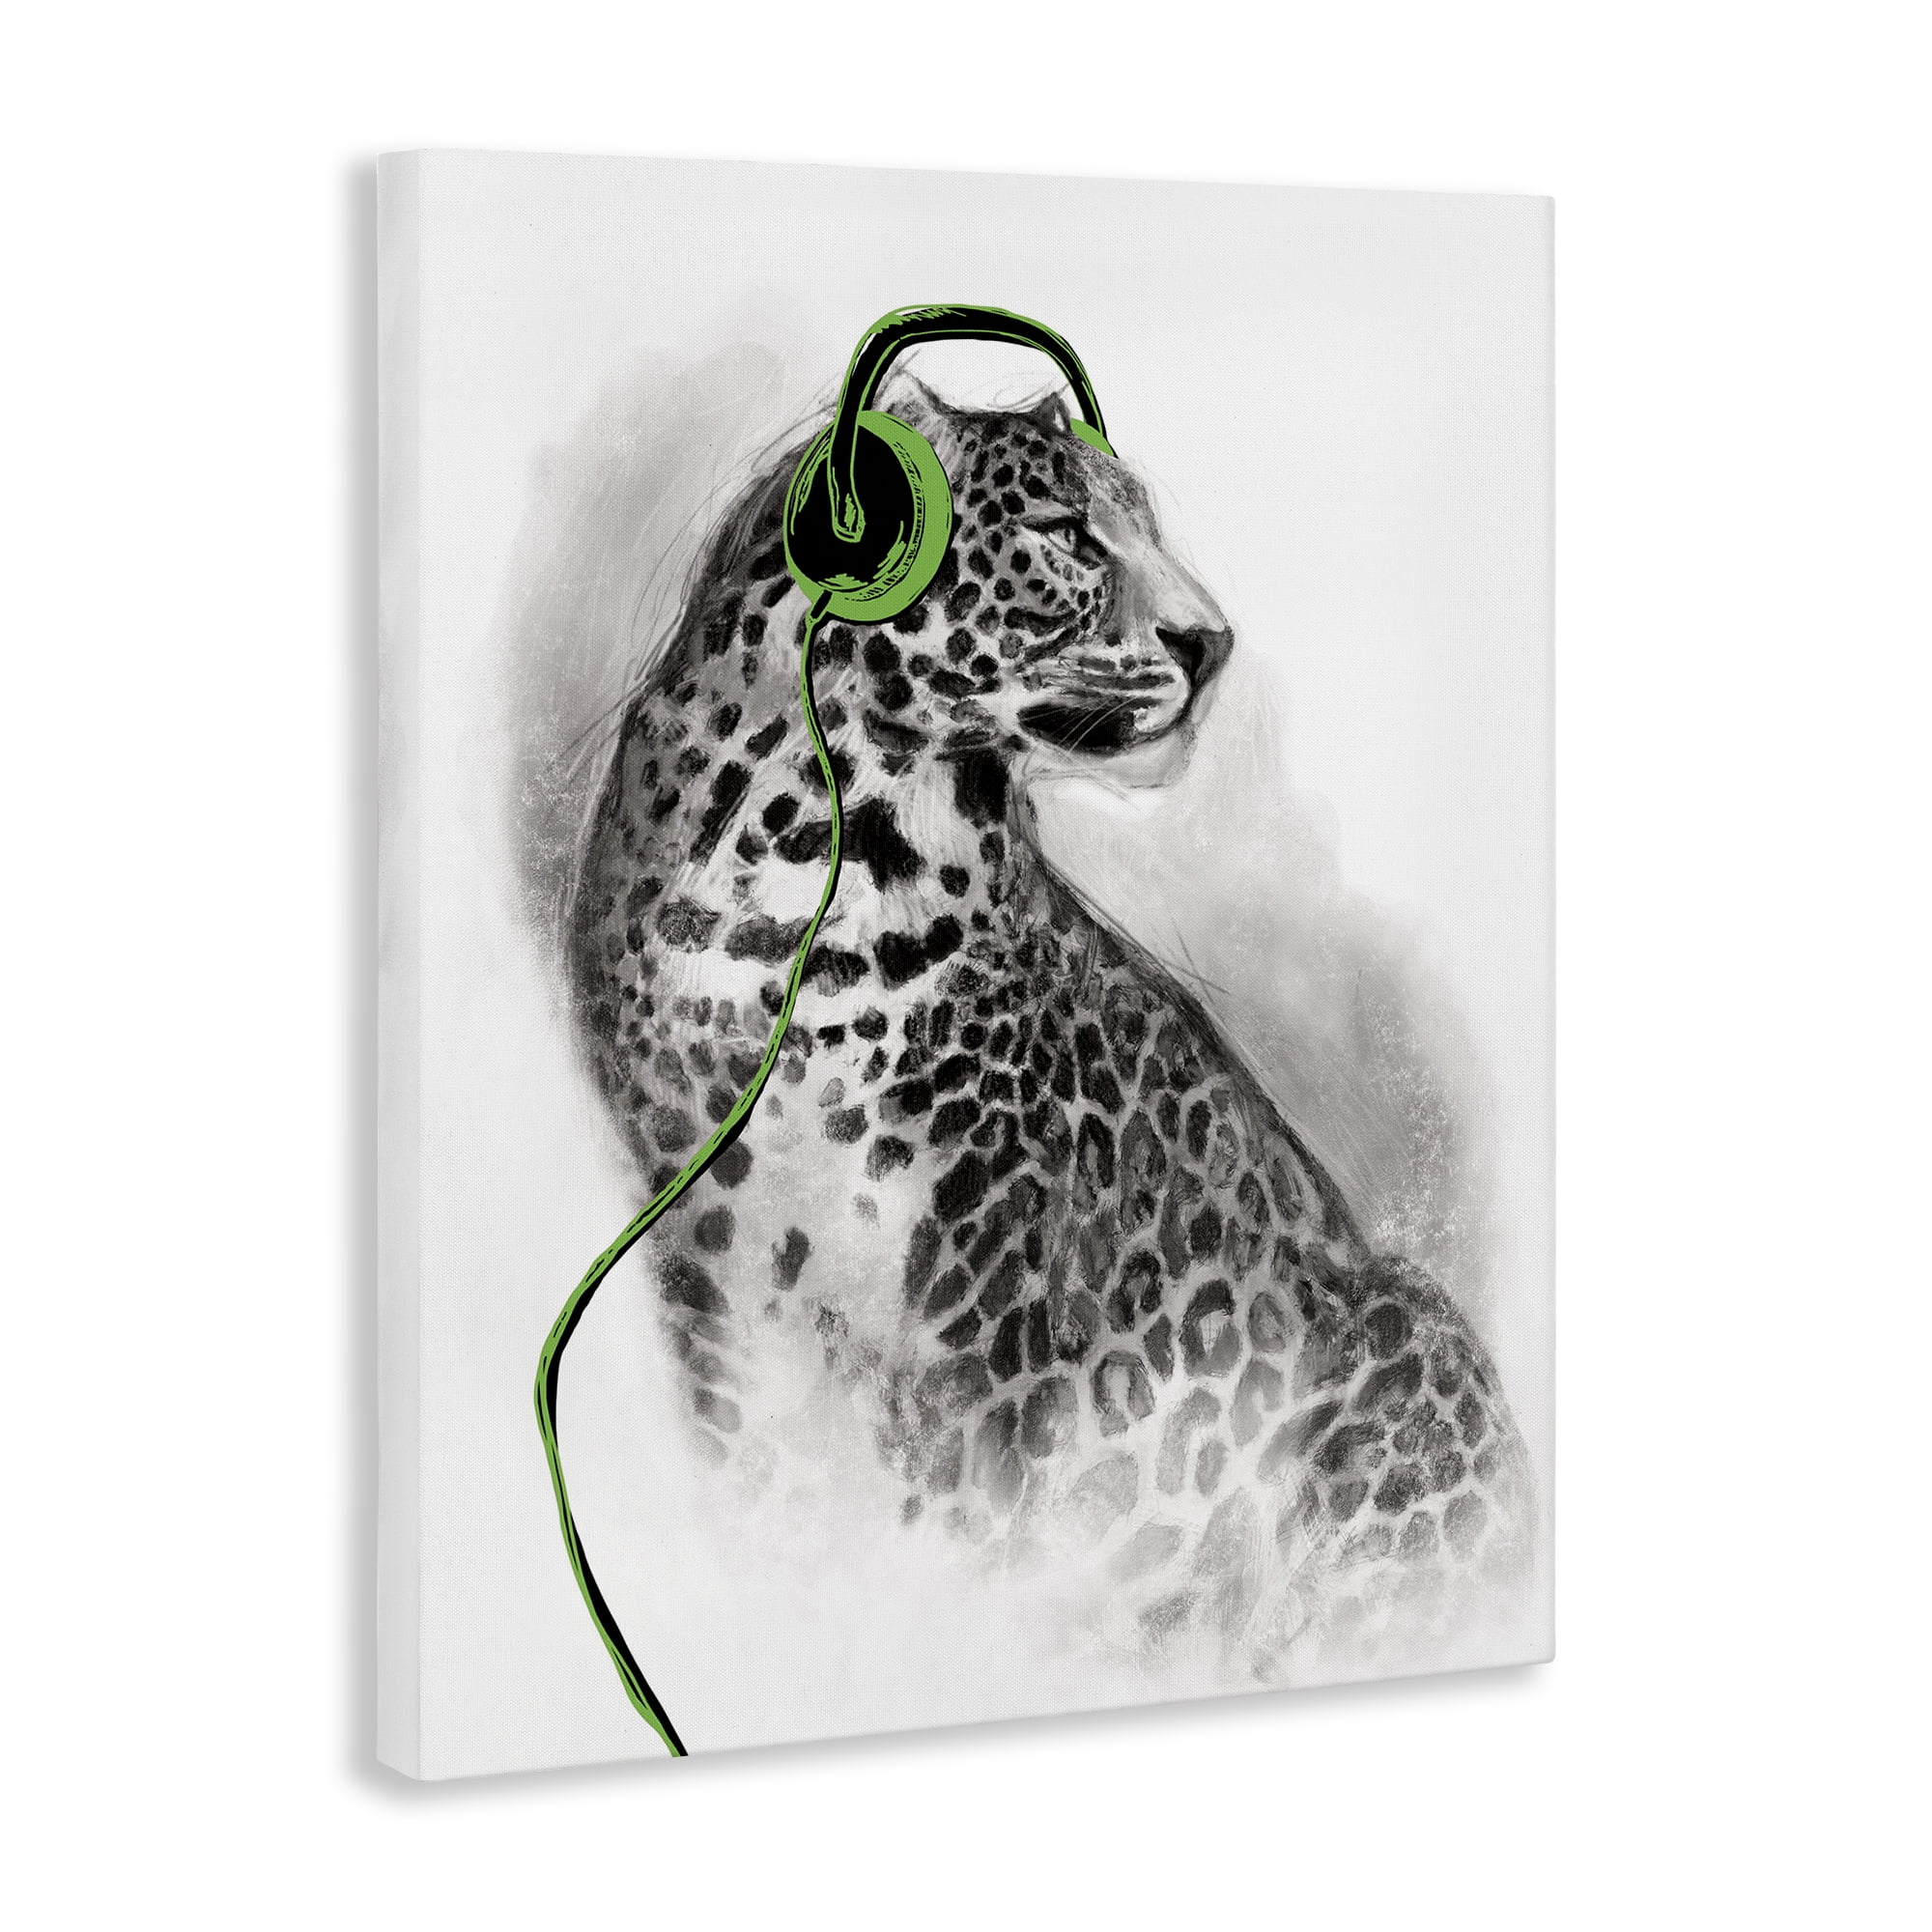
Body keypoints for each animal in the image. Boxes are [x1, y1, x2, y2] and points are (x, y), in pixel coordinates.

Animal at [564, 371, 1534, 1680]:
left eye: (1147, 527)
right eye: (1067, 533)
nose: (1210, 643)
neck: (811, 853)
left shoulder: (985, 1279)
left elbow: (951, 1533)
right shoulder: (697, 1249)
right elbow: (766, 1489)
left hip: (1405, 1339)